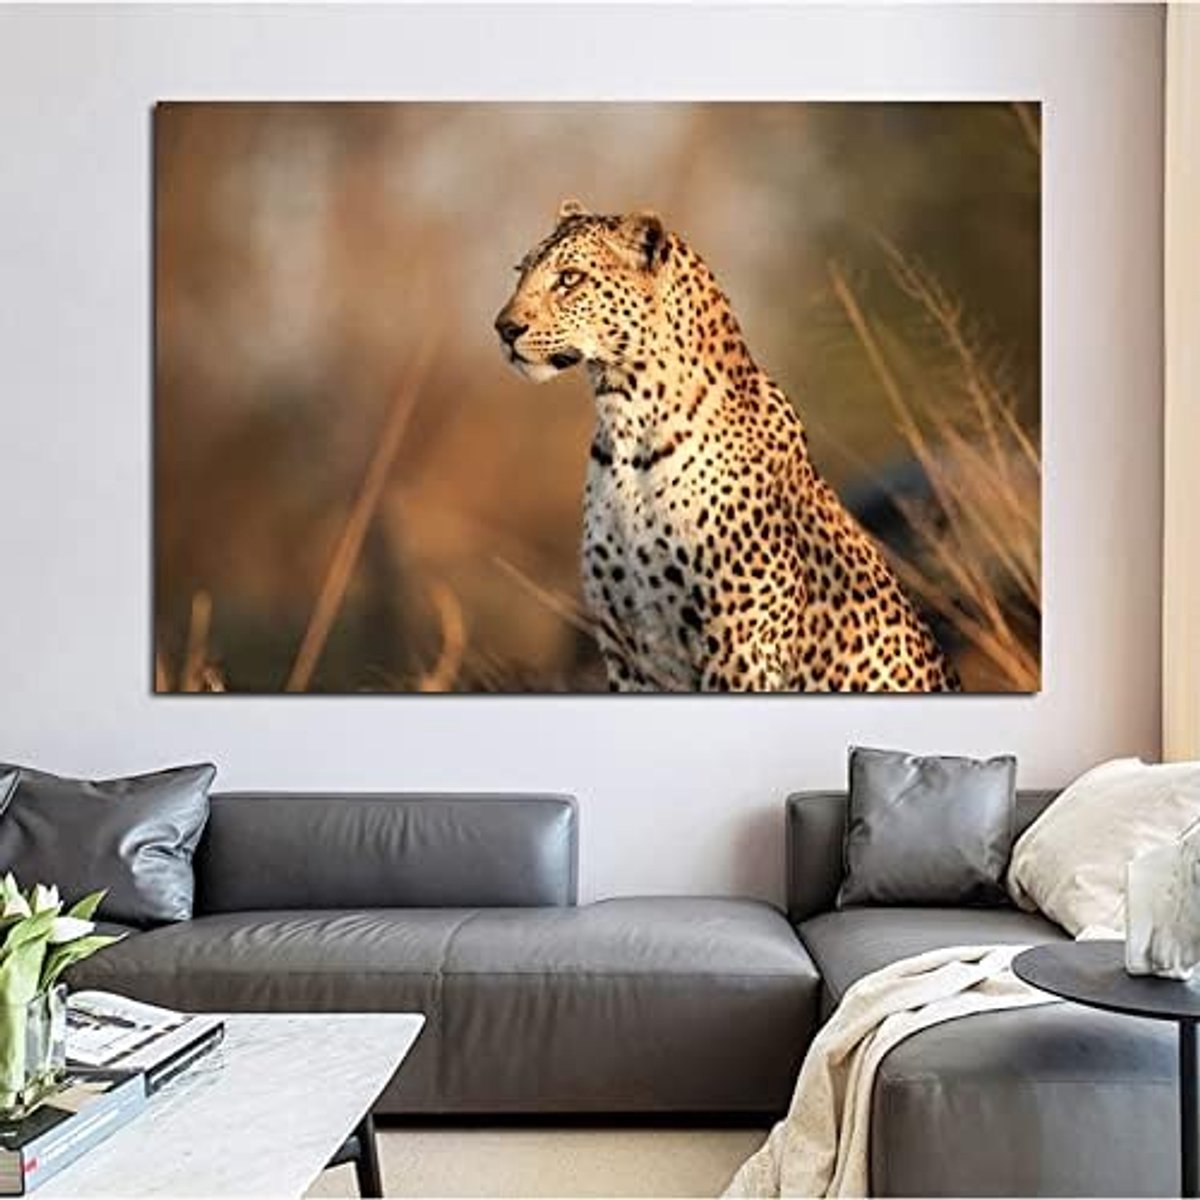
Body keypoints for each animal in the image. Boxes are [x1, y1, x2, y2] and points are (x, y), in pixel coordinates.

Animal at [494, 199, 960, 693]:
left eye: (569, 278)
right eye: (520, 272)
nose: (503, 328)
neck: (626, 422)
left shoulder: (740, 643)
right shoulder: (627, 648)